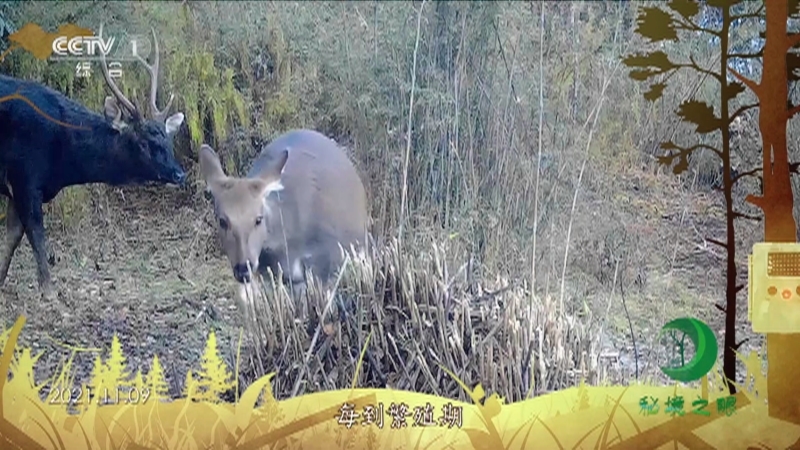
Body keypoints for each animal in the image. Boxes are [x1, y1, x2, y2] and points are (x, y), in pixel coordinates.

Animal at [0, 25, 186, 301]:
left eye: (168, 140)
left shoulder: (18, 186)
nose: (179, 174)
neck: (61, 163)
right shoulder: (25, 176)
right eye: (143, 142)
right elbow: (35, 232)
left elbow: (12, 237)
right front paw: (48, 289)